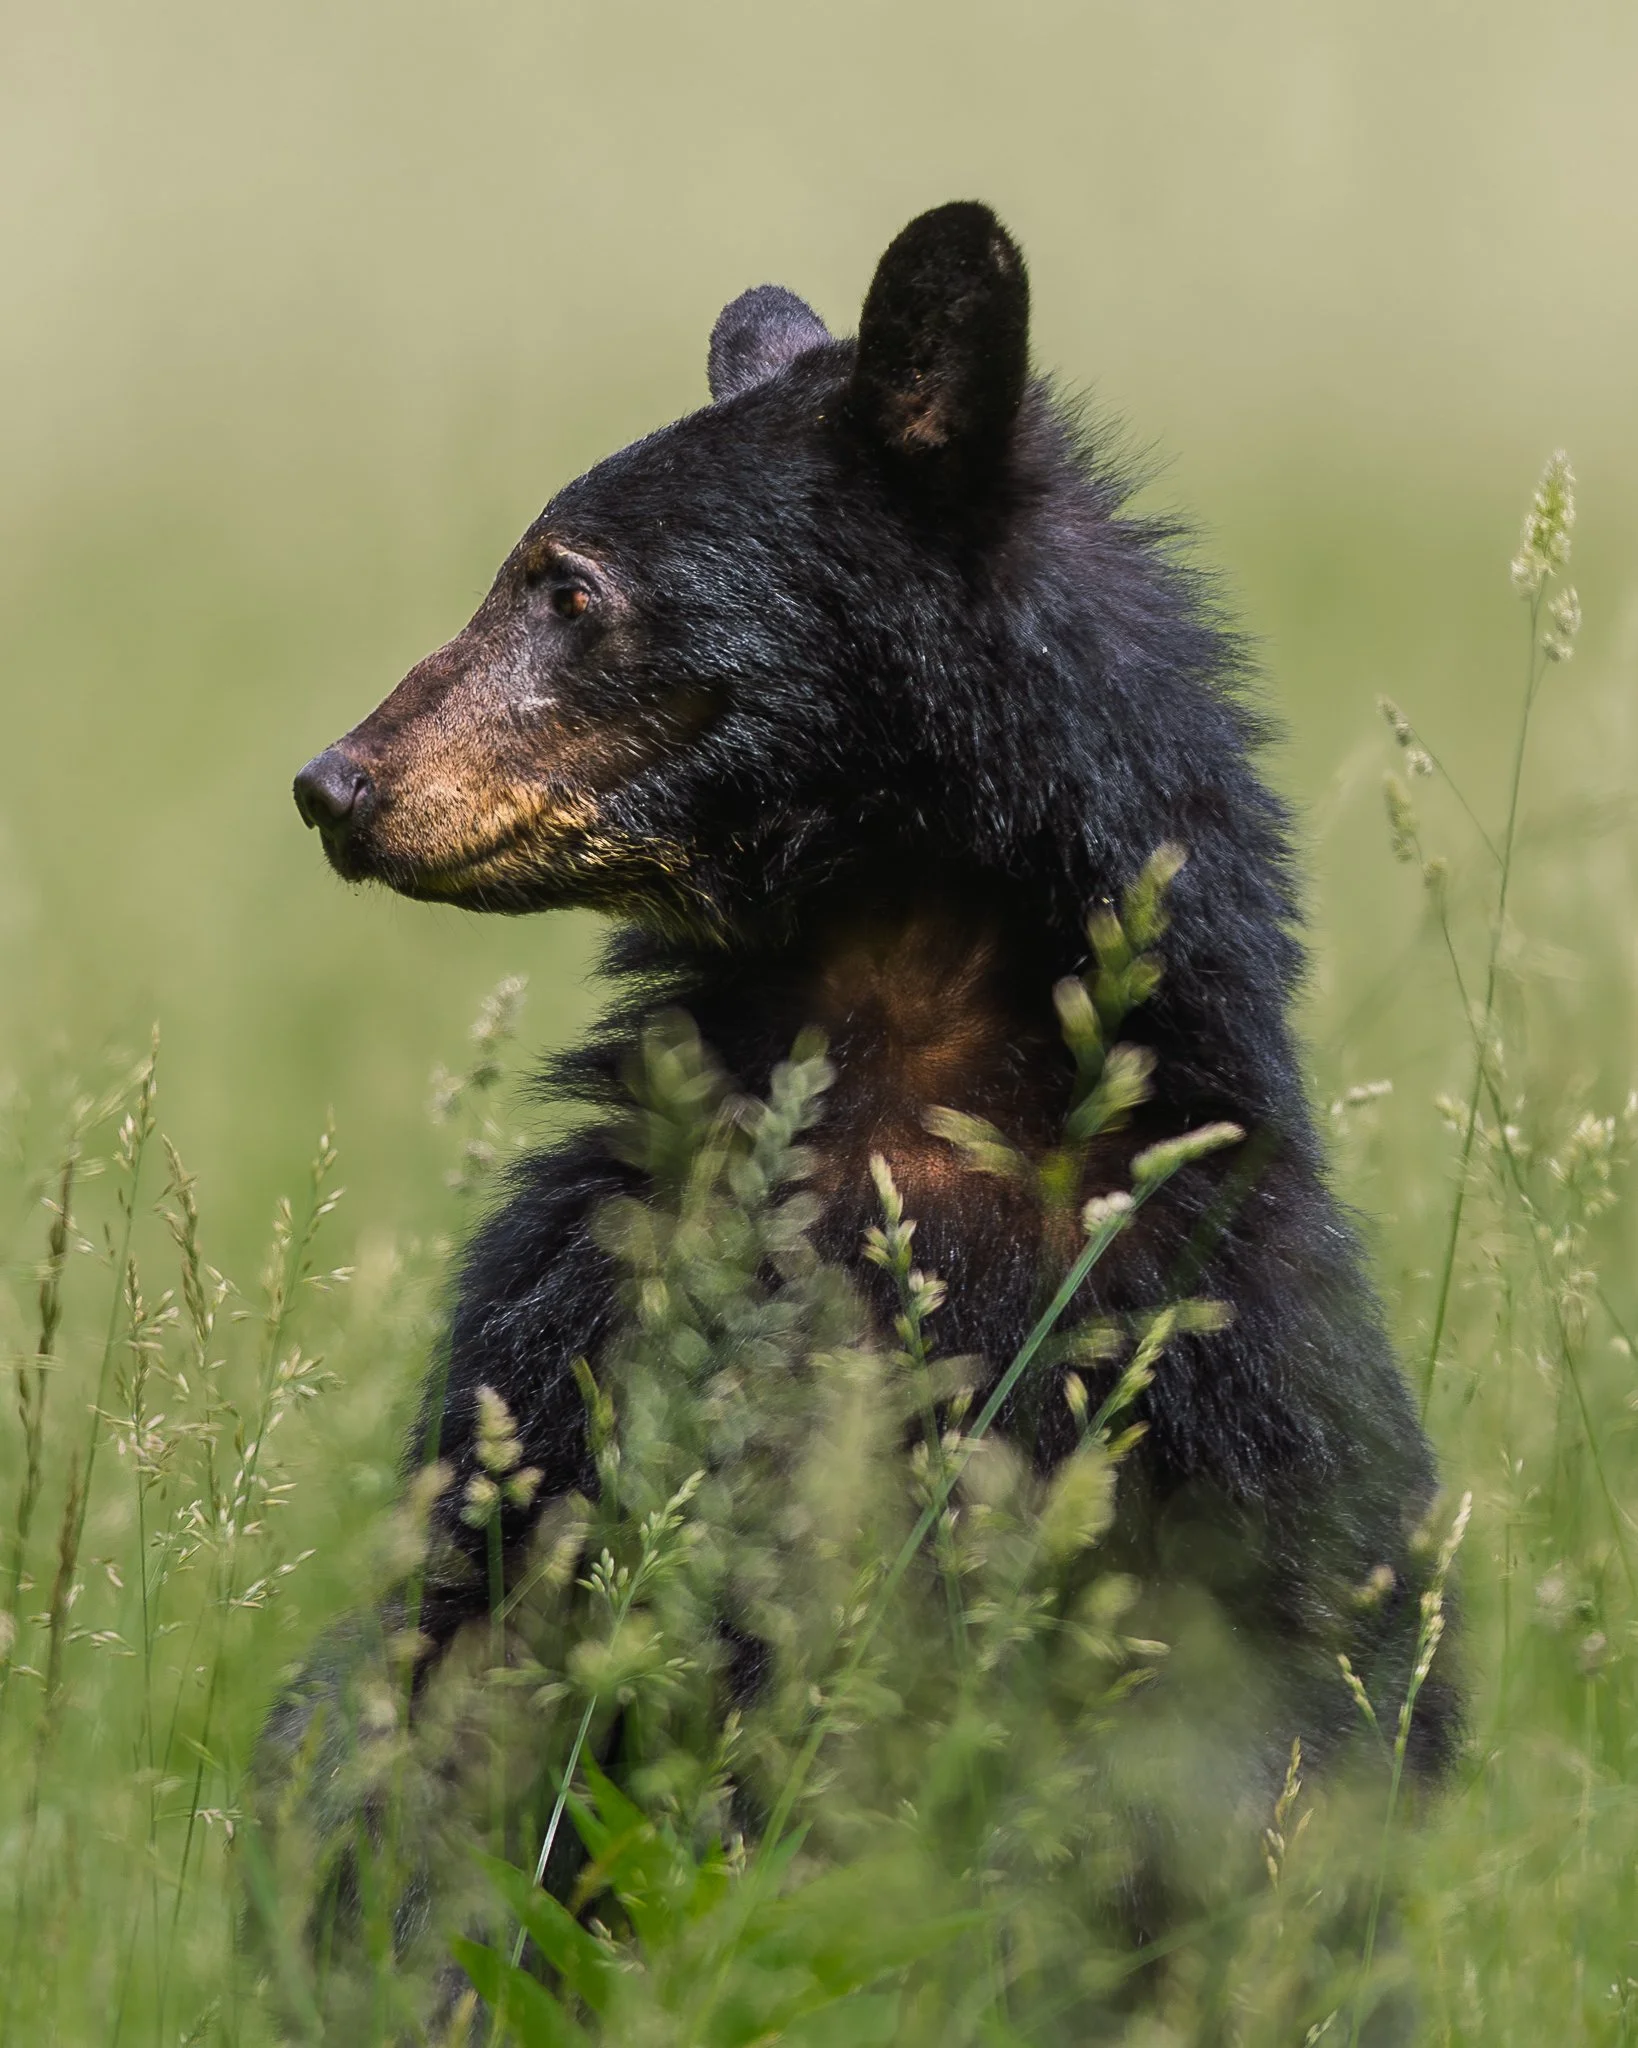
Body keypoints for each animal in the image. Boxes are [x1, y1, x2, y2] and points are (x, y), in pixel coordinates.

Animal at [280, 200, 1454, 2004]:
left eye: (569, 586)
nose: (335, 782)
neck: (906, 1054)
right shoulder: (597, 1282)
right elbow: (487, 1630)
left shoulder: (1205, 1348)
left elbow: (1270, 1701)